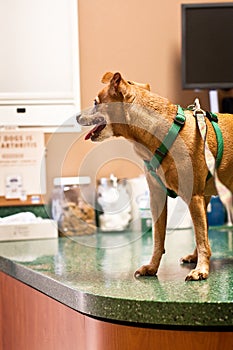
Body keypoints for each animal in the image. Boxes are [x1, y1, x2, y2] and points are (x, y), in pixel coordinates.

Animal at [76, 72, 233, 282]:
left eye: (95, 102)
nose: (77, 116)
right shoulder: (157, 198)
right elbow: (159, 239)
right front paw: (152, 267)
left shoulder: (194, 197)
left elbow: (200, 237)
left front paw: (201, 270)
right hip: (205, 197)